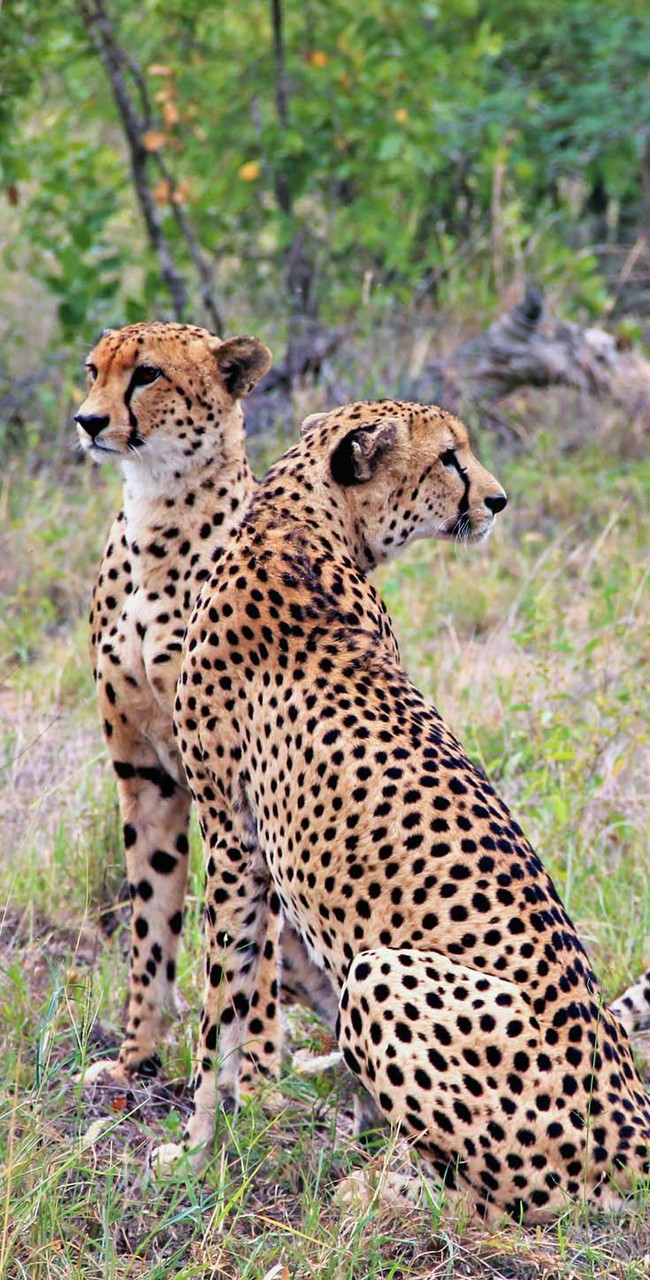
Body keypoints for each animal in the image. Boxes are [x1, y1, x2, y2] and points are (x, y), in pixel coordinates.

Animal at [77, 322, 335, 1090]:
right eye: (94, 371)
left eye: (147, 375)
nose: (88, 421)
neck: (157, 514)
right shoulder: (144, 773)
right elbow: (150, 921)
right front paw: (136, 1057)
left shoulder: (244, 782)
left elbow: (251, 954)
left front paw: (250, 1081)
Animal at [158, 399, 650, 1218]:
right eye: (450, 456)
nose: (499, 500)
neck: (304, 516)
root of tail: (634, 1117)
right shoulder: (241, 837)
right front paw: (336, 1127)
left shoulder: (232, 834)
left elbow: (219, 1007)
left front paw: (194, 1149)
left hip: (384, 972)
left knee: (514, 1205)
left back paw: (383, 1191)